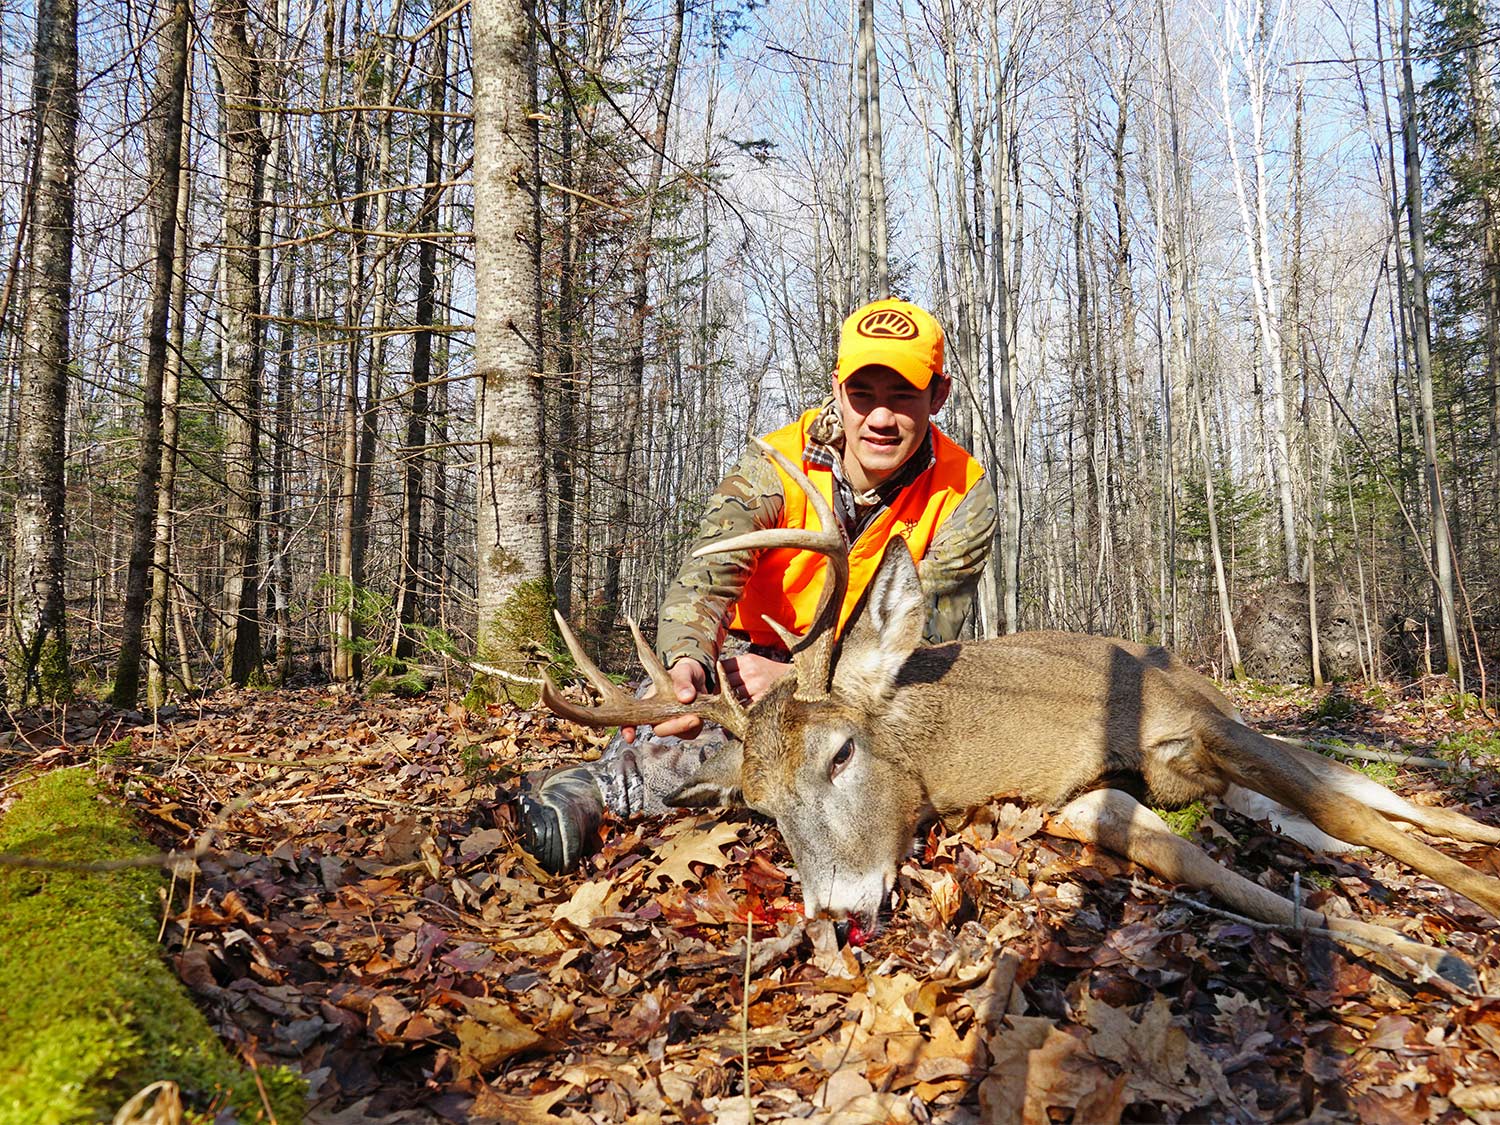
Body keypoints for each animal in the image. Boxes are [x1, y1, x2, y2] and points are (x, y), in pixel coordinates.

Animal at [546, 441, 1500, 984]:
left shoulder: (1197, 720)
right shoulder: (1083, 800)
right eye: (758, 806)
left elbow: (1369, 825)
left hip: (1263, 731)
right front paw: (1427, 954)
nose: (839, 914)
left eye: (842, 752)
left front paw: (1460, 932)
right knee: (1336, 829)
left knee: (1405, 812)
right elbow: (1214, 874)